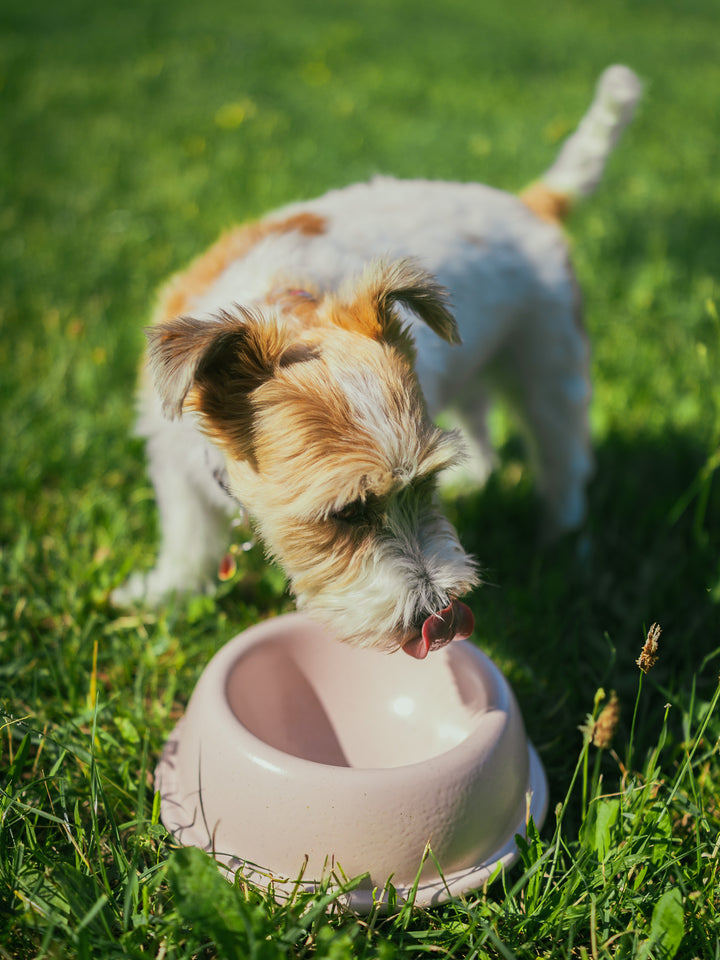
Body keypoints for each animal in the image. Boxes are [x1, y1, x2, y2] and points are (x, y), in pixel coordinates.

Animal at [114, 63, 640, 656]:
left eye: (425, 488)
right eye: (346, 513)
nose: (440, 612)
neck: (286, 306)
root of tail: (530, 203)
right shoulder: (173, 463)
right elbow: (188, 537)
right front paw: (165, 594)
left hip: (549, 363)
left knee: (562, 455)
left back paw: (561, 540)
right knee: (479, 413)